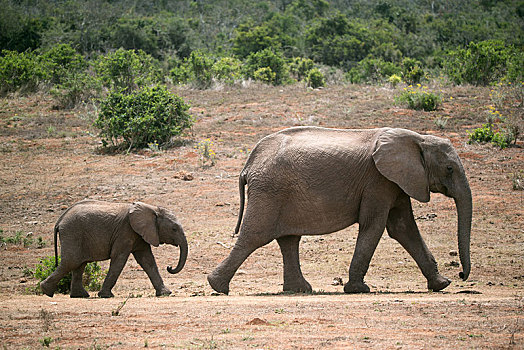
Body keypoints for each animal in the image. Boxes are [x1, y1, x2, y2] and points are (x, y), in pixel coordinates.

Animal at [41, 200, 188, 298]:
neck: (153, 208)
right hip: (72, 233)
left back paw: (80, 295)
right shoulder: (125, 232)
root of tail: (59, 221)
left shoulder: (140, 235)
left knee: (79, 265)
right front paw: (106, 295)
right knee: (71, 262)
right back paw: (47, 292)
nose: (169, 267)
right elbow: (119, 259)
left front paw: (165, 293)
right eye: (174, 229)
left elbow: (147, 261)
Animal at [207, 127, 472, 294]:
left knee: (288, 240)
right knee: (256, 236)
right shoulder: (378, 181)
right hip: (269, 191)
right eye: (449, 168)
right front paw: (359, 290)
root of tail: (249, 163)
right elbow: (375, 226)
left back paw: (300, 290)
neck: (417, 139)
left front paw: (442, 284)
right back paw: (217, 287)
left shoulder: (395, 182)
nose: (461, 275)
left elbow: (403, 228)